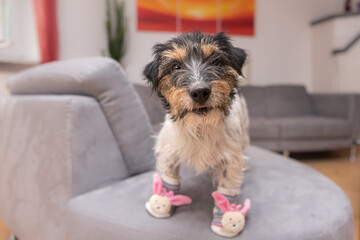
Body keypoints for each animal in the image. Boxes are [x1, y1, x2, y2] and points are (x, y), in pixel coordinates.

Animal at [145, 31, 249, 201]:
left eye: (215, 62)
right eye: (175, 67)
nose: (200, 92)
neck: (201, 125)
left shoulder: (231, 159)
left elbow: (226, 188)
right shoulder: (169, 150)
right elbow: (169, 177)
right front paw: (165, 199)